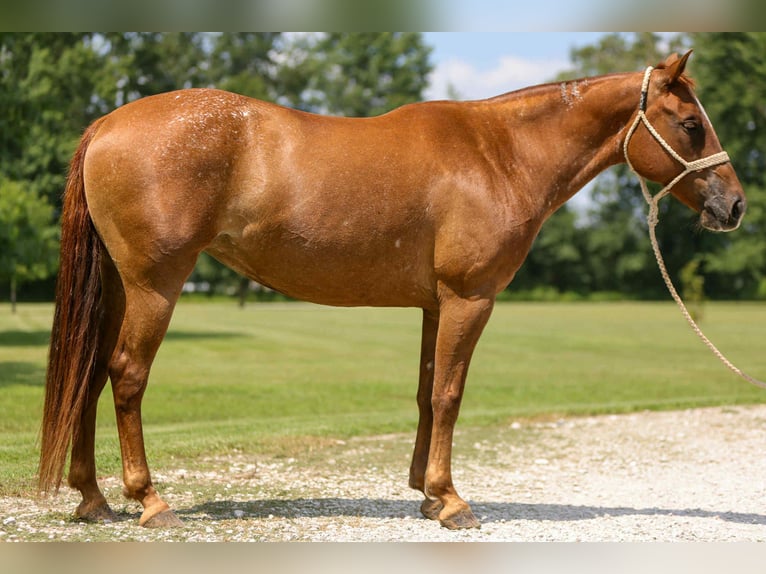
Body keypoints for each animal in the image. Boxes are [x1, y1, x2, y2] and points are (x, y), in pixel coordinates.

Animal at [39, 51, 745, 530]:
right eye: (690, 124)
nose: (734, 205)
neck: (499, 154)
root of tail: (108, 124)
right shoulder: (469, 299)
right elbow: (451, 395)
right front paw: (452, 501)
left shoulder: (436, 305)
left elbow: (428, 394)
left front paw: (428, 493)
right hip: (155, 285)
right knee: (126, 375)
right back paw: (149, 500)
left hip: (117, 288)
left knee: (89, 374)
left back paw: (93, 499)